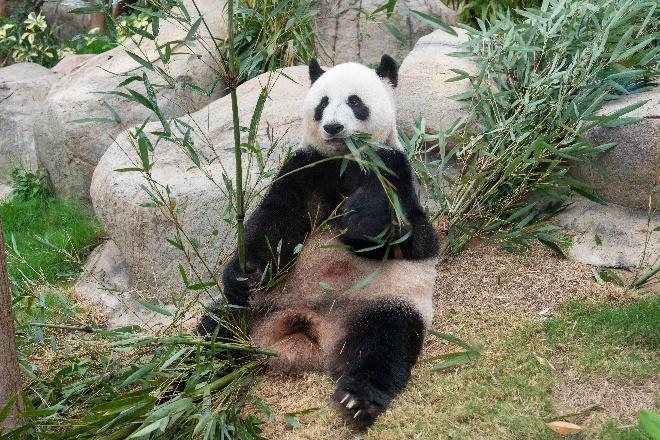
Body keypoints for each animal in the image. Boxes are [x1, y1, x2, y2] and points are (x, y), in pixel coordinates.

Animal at [199, 54, 440, 426]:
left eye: (355, 102)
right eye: (322, 104)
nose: (333, 127)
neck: (345, 157)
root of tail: (309, 328)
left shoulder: (392, 168)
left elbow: (407, 231)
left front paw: (358, 222)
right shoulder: (307, 166)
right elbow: (276, 219)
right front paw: (245, 273)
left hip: (385, 300)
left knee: (384, 343)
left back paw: (357, 398)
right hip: (257, 307)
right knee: (213, 333)